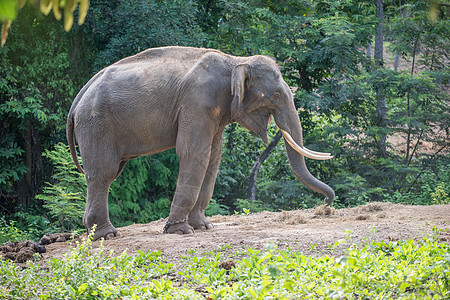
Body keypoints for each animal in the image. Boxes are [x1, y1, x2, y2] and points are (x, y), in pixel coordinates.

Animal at [67, 45, 334, 240]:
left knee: (107, 172)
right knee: (104, 172)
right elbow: (194, 153)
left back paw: (95, 232)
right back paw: (106, 235)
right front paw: (180, 231)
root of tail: (80, 95)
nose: (326, 206)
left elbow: (214, 156)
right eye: (276, 95)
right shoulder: (197, 102)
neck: (235, 61)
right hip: (96, 123)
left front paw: (204, 227)